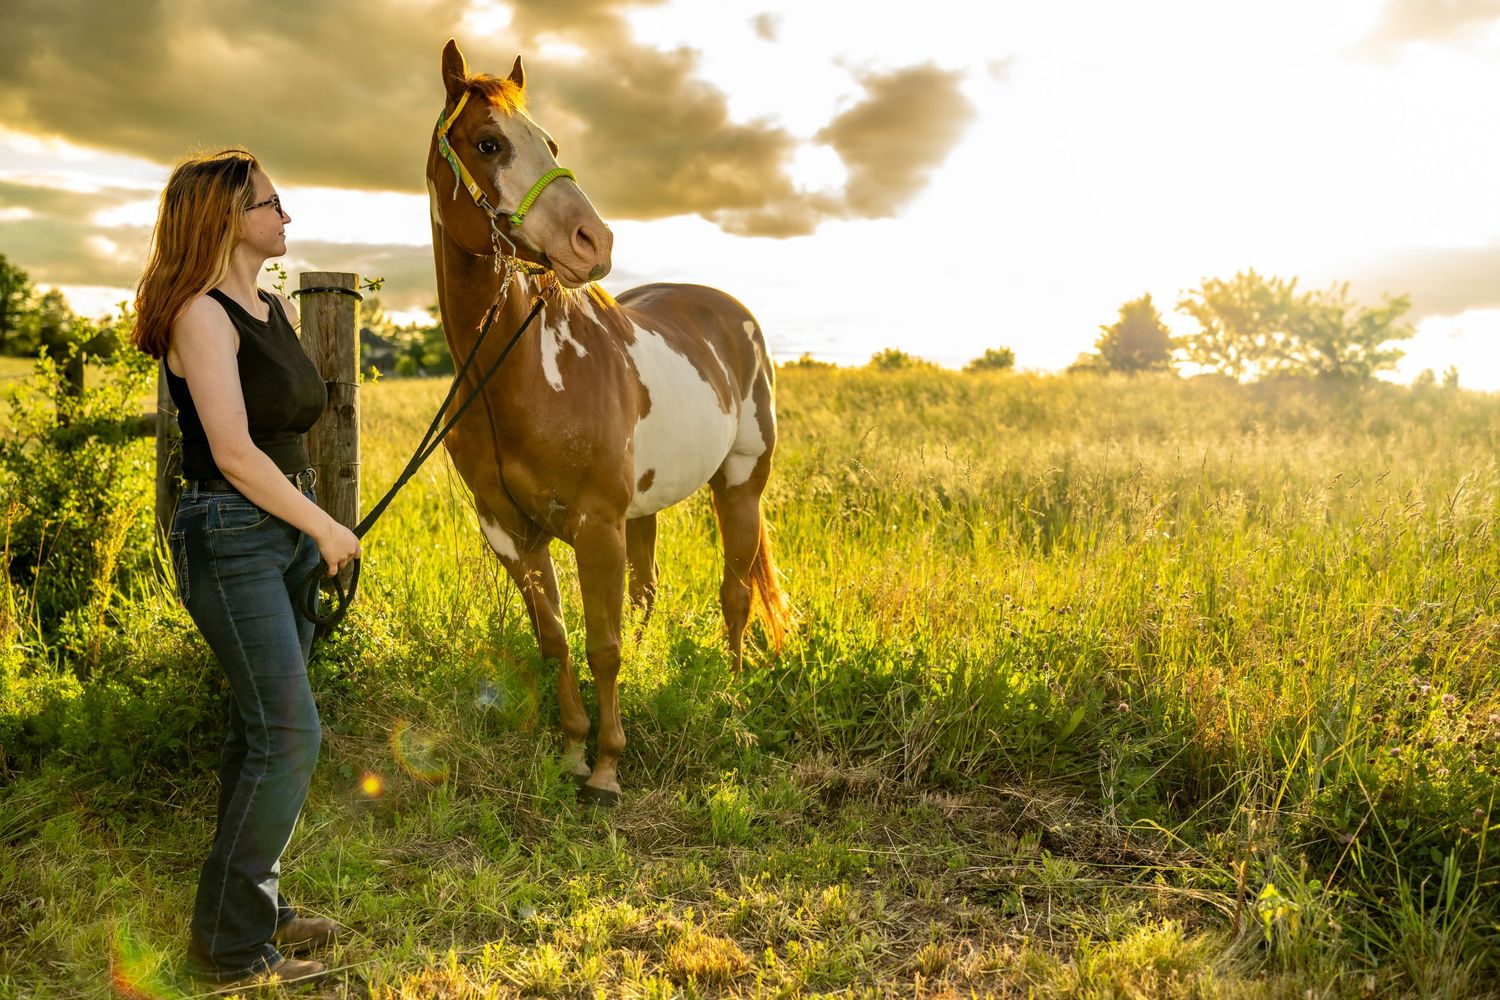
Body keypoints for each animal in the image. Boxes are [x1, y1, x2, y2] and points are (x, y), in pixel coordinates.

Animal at [424, 40, 790, 805]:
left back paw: (734, 696)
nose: (593, 240)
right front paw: (571, 749)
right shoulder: (512, 534)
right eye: (488, 142)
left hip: (740, 486)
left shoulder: (596, 526)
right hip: (643, 511)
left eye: (552, 143)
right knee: (649, 592)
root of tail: (731, 309)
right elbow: (559, 641)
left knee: (736, 593)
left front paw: (607, 768)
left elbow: (603, 645)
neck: (520, 375)